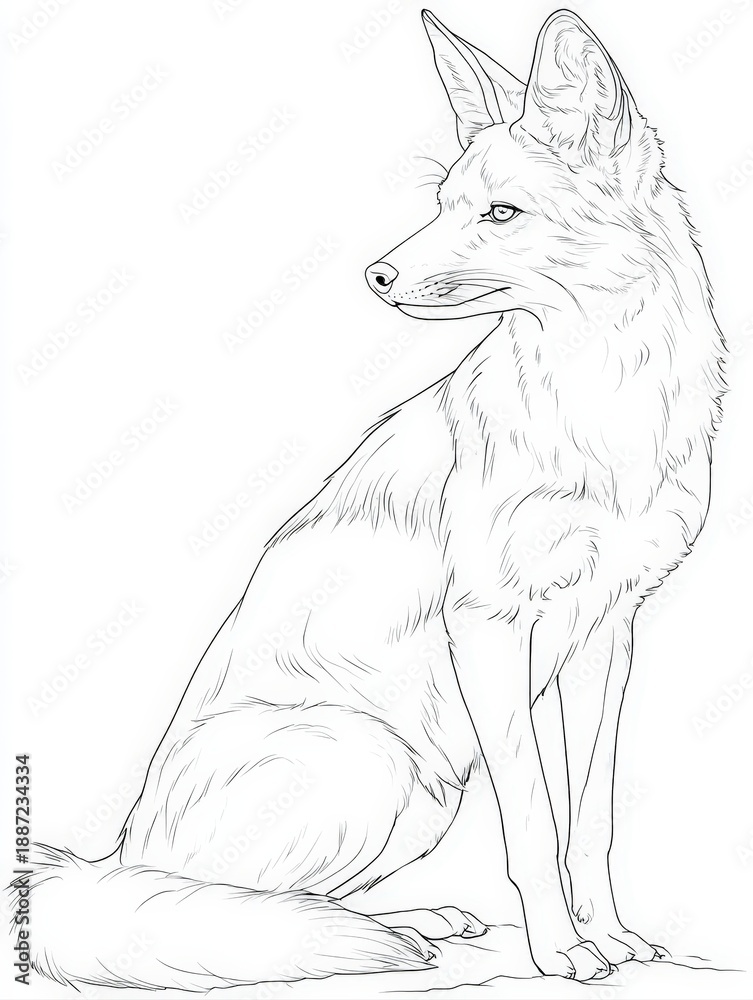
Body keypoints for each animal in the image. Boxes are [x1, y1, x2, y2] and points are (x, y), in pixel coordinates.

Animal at [23, 7, 726, 991]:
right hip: (375, 760)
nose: (377, 277)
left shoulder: (608, 629)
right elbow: (532, 821)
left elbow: (588, 820)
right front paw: (560, 950)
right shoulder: (488, 627)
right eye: (444, 204)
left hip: (422, 788)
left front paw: (611, 935)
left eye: (499, 212)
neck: (603, 406)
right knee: (228, 911)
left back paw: (416, 921)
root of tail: (110, 863)